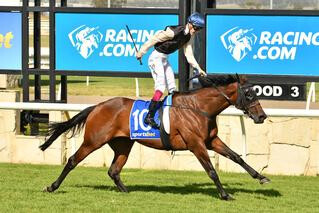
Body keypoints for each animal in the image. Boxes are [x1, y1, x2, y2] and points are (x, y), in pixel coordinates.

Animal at [39, 74, 270, 200]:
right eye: (249, 94)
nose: (261, 116)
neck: (199, 108)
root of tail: (97, 106)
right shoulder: (196, 144)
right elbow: (211, 170)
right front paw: (224, 194)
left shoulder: (211, 141)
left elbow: (236, 157)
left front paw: (261, 177)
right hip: (93, 141)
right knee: (72, 160)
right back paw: (52, 186)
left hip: (123, 145)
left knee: (114, 170)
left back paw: (127, 192)